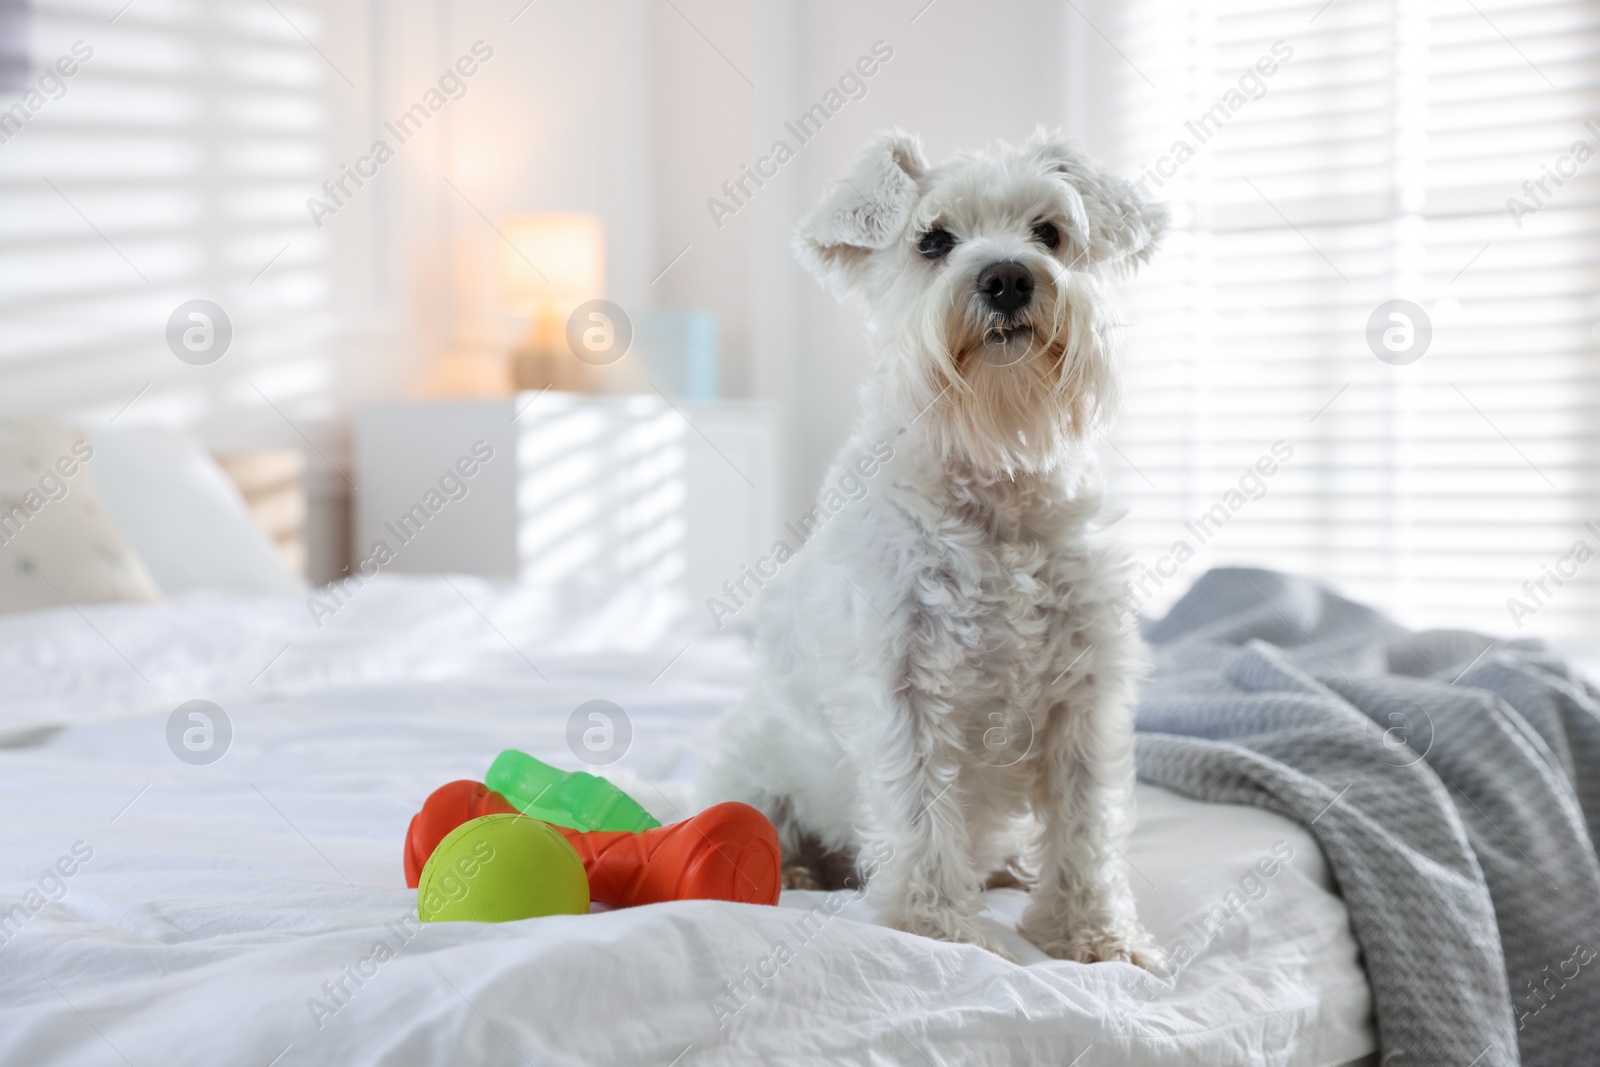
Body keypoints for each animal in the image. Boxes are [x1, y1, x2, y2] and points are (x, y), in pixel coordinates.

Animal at [707, 127, 1171, 966]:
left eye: (1049, 232)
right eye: (932, 240)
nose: (1008, 278)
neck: (995, 480)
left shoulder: (1085, 692)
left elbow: (1086, 825)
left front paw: (1093, 933)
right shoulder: (905, 686)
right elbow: (920, 811)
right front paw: (937, 926)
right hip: (751, 771)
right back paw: (798, 866)